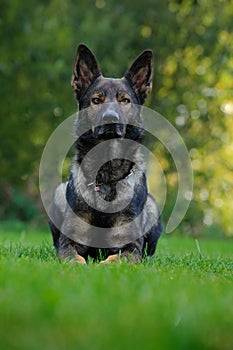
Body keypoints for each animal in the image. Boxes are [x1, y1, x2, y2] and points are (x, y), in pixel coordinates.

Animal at [48, 44, 162, 262]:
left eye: (124, 100)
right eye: (96, 100)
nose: (110, 118)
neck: (107, 177)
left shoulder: (131, 247)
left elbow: (114, 260)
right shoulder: (69, 242)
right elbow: (74, 258)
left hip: (152, 206)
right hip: (58, 192)